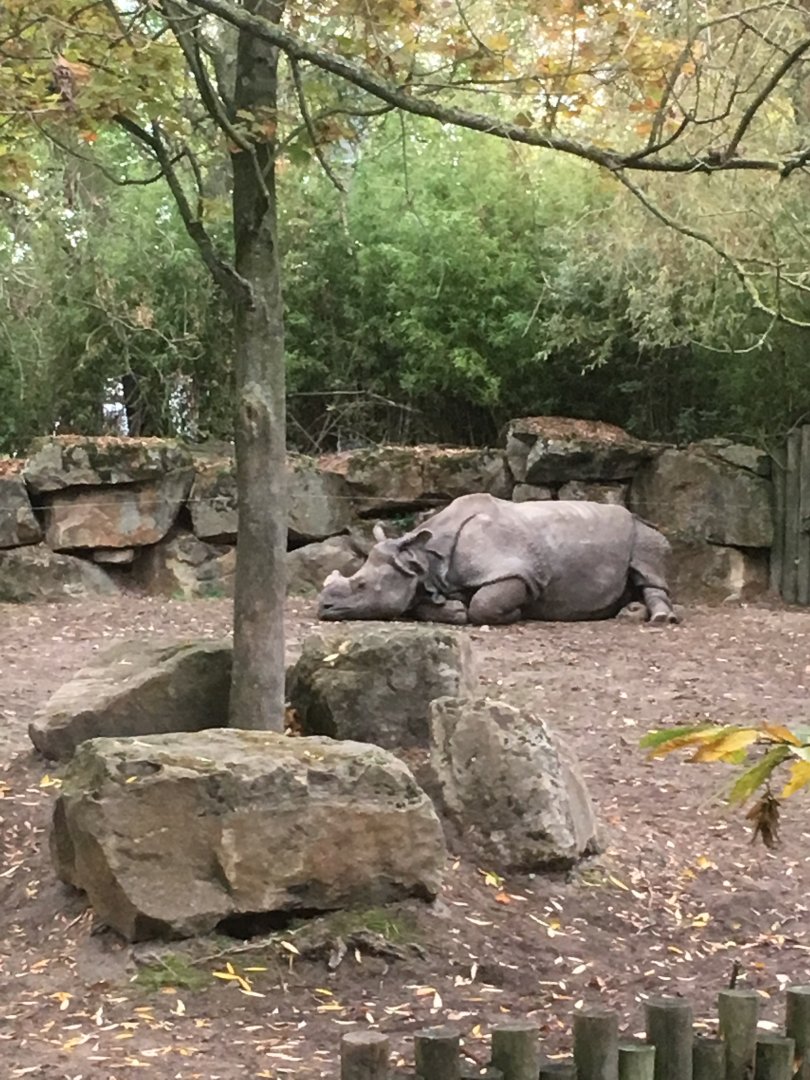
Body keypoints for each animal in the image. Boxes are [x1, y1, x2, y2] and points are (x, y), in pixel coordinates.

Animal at [318, 493, 678, 626]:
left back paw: (660, 619)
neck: (424, 560)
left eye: (362, 585)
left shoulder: (517, 572)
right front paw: (452, 609)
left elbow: (484, 605)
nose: (322, 607)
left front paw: (516, 613)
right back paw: (629, 612)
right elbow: (424, 604)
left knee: (649, 564)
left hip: (641, 530)